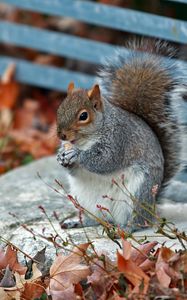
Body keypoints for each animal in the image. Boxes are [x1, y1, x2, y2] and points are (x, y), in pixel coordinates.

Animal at [55, 39, 186, 231]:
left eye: (83, 116)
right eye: (59, 108)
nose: (61, 135)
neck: (86, 140)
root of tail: (152, 207)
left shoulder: (119, 139)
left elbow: (105, 160)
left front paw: (76, 155)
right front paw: (61, 156)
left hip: (137, 194)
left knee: (137, 221)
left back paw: (125, 229)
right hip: (85, 201)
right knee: (94, 220)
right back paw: (77, 222)